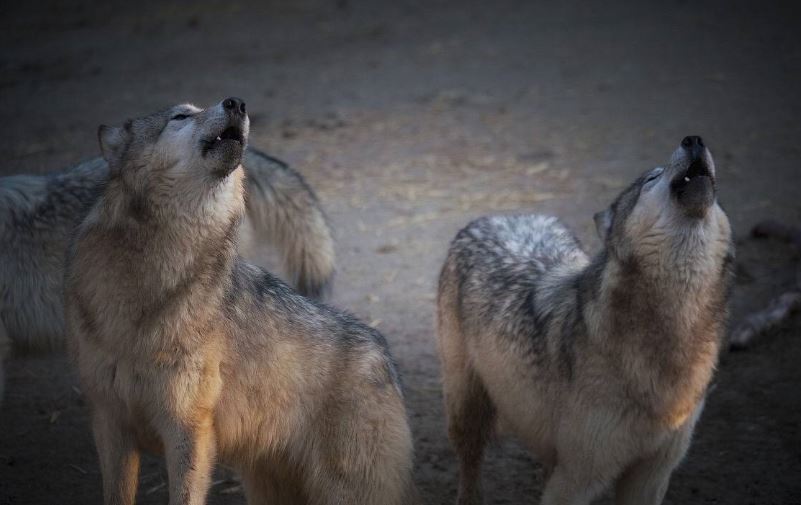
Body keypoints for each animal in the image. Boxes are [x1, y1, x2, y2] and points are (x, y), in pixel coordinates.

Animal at [438, 135, 732, 504]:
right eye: (652, 178)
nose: (693, 139)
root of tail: (500, 215)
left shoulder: (652, 474)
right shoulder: (578, 476)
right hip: (466, 411)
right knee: (469, 467)